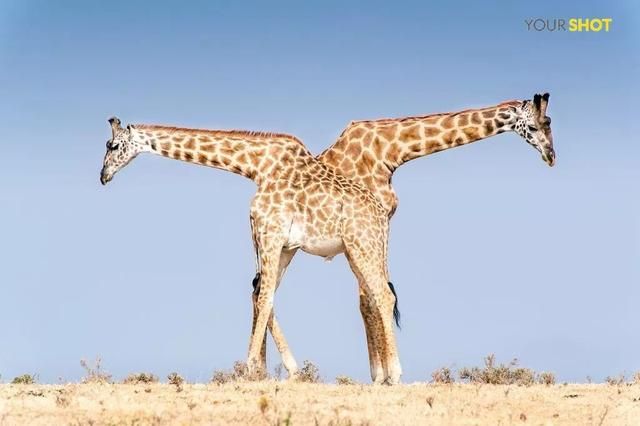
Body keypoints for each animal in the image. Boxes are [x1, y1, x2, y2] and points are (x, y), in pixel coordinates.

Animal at [98, 117, 402, 386]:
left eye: (113, 145)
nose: (103, 176)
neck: (256, 167)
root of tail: (381, 216)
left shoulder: (271, 234)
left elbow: (264, 298)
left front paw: (248, 370)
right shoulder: (278, 243)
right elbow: (262, 296)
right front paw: (285, 370)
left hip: (362, 245)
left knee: (383, 296)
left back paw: (394, 374)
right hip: (356, 251)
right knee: (375, 297)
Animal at [260, 91, 556, 382]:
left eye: (549, 122)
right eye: (532, 126)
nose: (551, 155)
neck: (391, 150)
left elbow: (373, 296)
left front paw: (381, 373)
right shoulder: (369, 226)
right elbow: (370, 299)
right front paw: (383, 375)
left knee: (262, 289)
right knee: (263, 290)